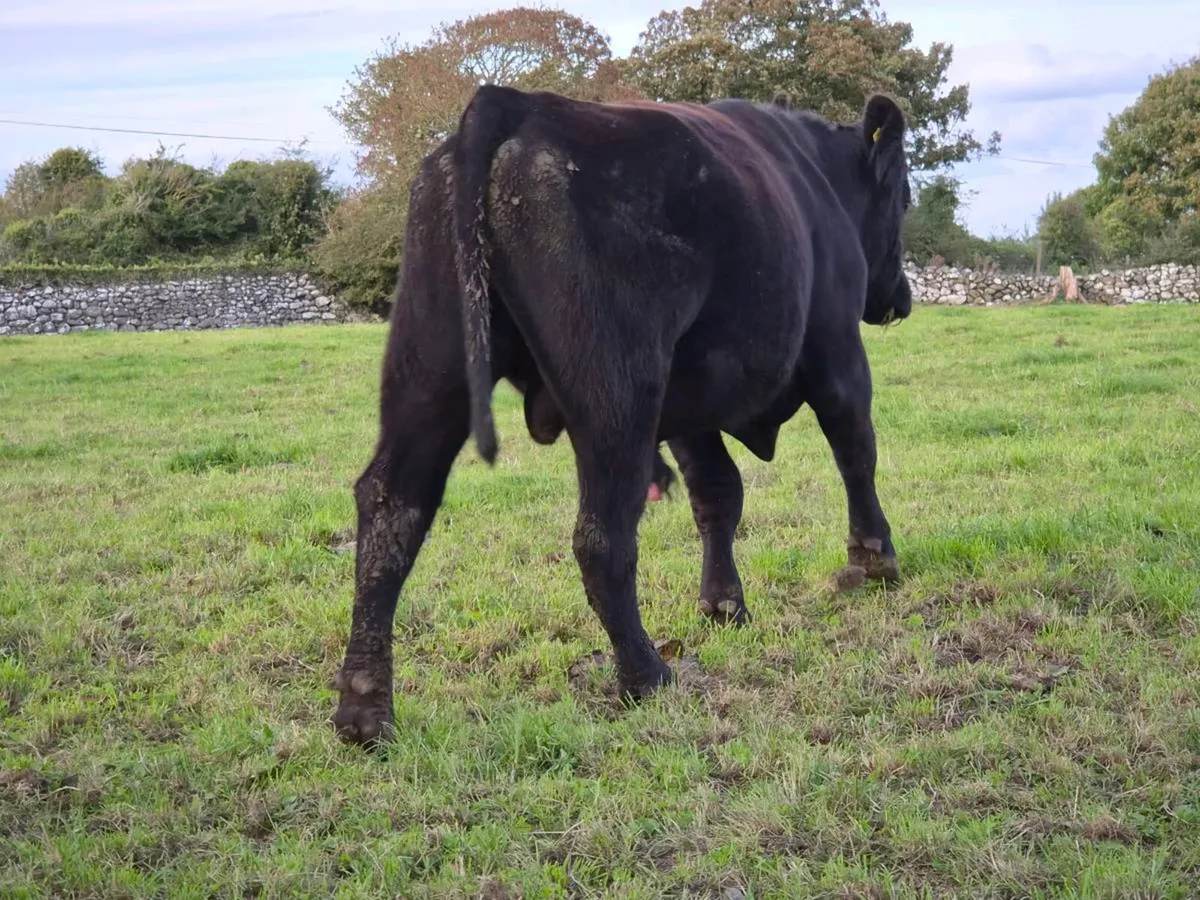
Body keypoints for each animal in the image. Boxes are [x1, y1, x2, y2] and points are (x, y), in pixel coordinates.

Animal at [331, 84, 913, 747]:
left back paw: (364, 710)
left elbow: (718, 493)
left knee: (392, 506)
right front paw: (875, 560)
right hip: (619, 390)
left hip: (431, 365)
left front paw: (724, 606)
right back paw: (646, 674)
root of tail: (516, 104)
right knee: (601, 534)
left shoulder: (690, 405)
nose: (901, 297)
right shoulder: (836, 348)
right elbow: (855, 451)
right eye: (905, 197)